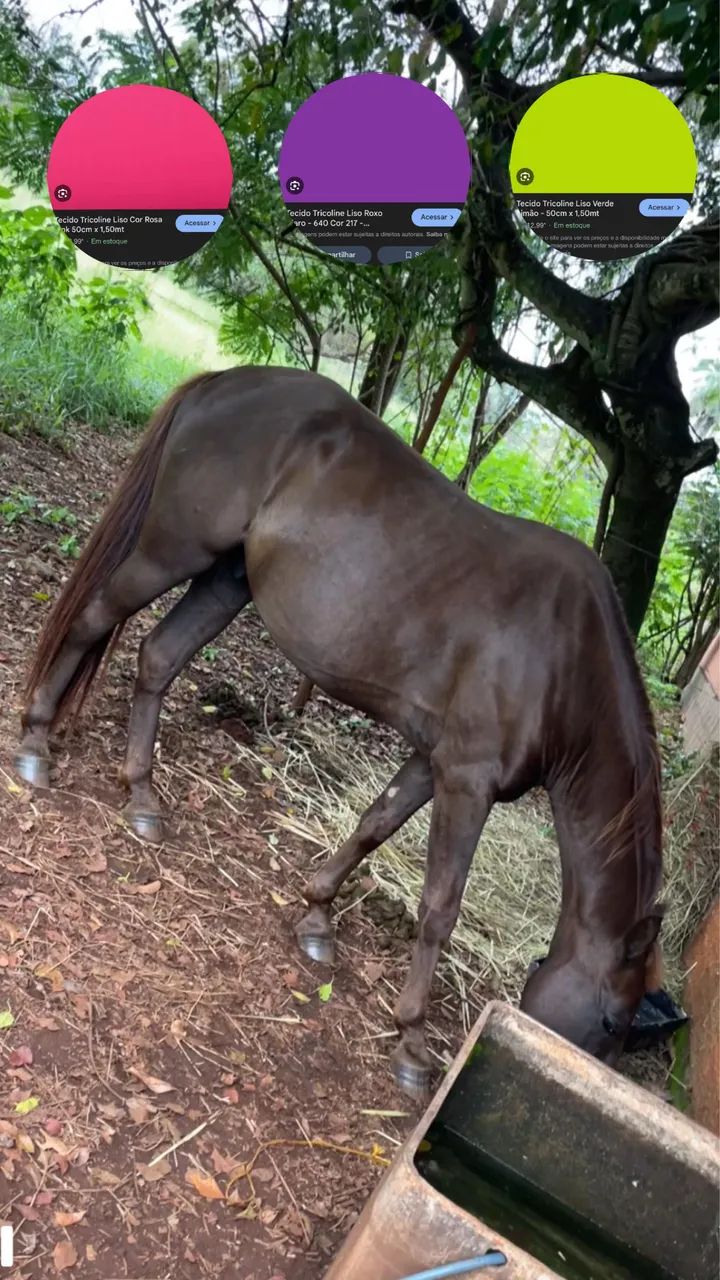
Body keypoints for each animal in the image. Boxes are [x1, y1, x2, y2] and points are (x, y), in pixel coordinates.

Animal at [14, 365, 664, 1096]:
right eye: (610, 1021)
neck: (563, 657)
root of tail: (222, 381)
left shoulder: (432, 760)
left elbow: (372, 825)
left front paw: (317, 916)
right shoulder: (468, 780)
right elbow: (440, 905)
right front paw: (411, 1041)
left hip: (225, 578)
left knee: (157, 656)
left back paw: (141, 796)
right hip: (171, 550)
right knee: (94, 618)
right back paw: (36, 742)